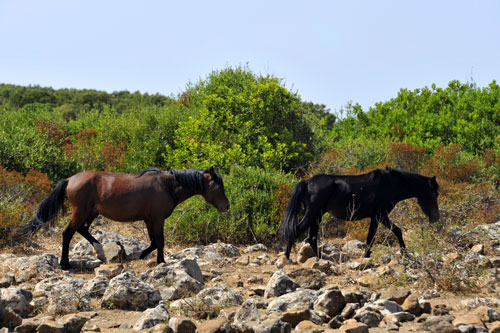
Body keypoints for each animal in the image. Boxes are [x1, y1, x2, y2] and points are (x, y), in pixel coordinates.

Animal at [13, 167, 229, 268]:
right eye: (219, 186)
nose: (226, 206)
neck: (168, 186)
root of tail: (70, 179)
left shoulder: (149, 219)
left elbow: (153, 241)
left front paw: (139, 255)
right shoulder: (158, 219)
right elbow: (160, 241)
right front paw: (161, 261)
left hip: (92, 212)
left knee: (83, 230)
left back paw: (100, 248)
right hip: (80, 211)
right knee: (68, 233)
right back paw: (65, 264)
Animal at [280, 167, 440, 258]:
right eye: (434, 194)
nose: (436, 218)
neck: (391, 184)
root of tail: (307, 182)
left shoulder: (377, 217)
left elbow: (374, 236)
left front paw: (368, 255)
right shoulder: (380, 215)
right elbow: (392, 232)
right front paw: (404, 253)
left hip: (317, 215)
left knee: (311, 237)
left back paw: (321, 258)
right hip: (313, 214)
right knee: (296, 231)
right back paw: (287, 258)